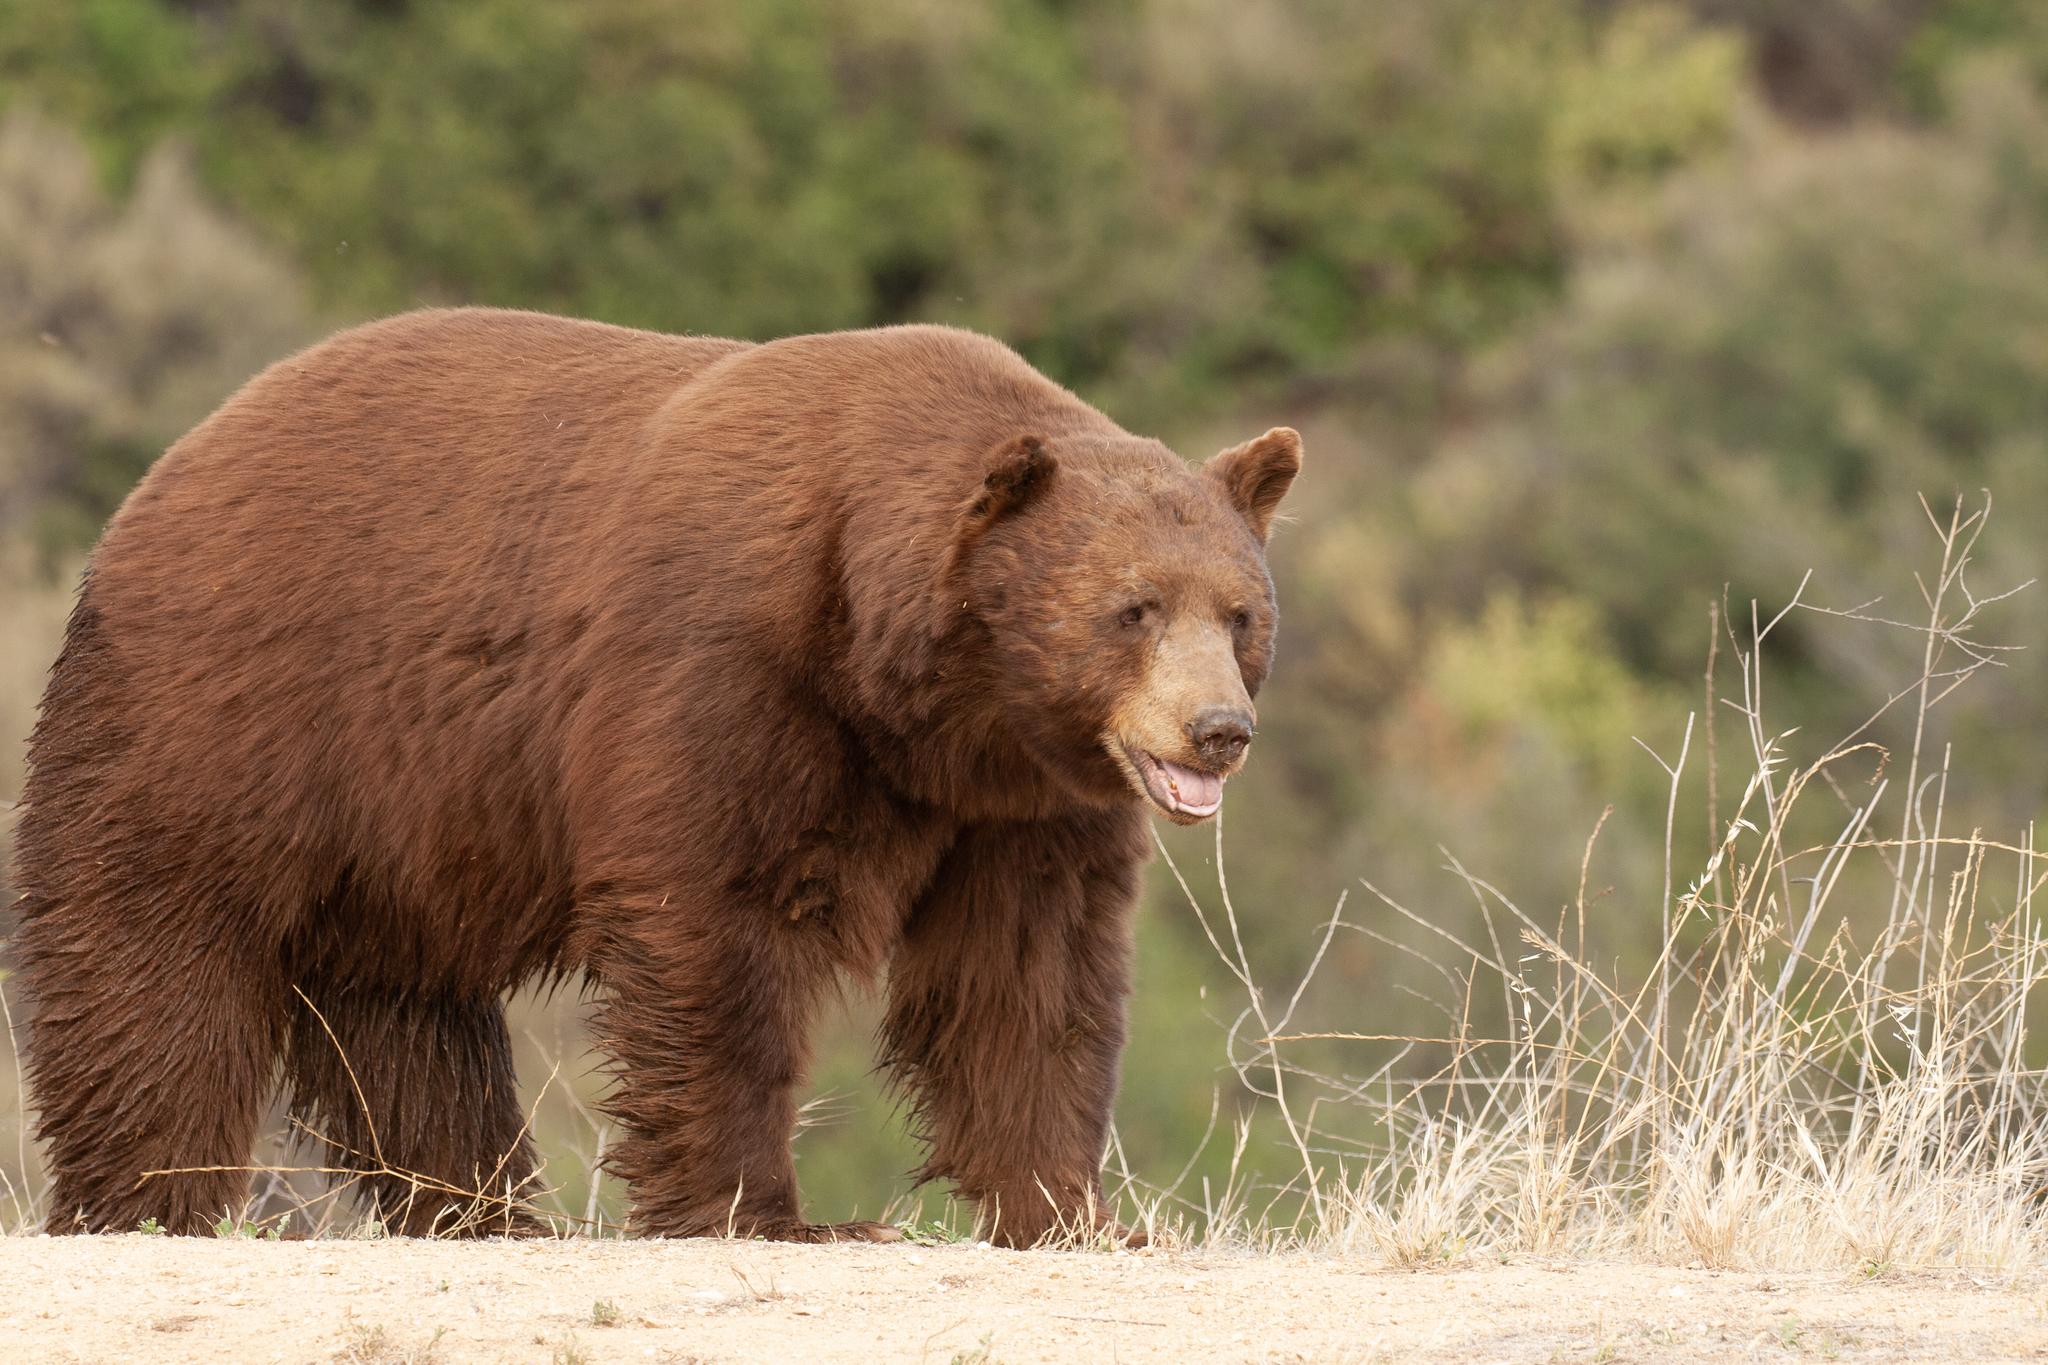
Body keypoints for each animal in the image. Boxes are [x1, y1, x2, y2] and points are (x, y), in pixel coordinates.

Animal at [12, 307, 1301, 1245]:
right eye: (1131, 608)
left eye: (1239, 613)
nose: (1216, 731)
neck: (916, 696)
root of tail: (172, 464)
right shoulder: (725, 672)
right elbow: (714, 924)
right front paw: (777, 1214)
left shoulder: (1018, 800)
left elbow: (1028, 975)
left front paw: (1075, 1211)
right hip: (232, 720)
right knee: (155, 954)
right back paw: (145, 1197)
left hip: (401, 824)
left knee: (407, 1016)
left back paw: (481, 1210)